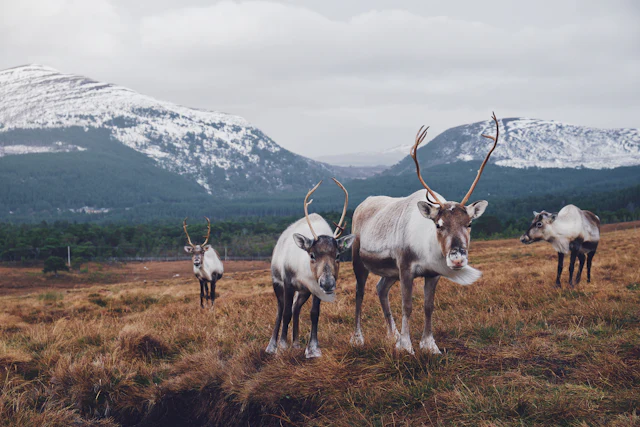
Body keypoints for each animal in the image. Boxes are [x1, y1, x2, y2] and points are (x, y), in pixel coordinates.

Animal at [266, 178, 355, 358]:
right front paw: (282, 346)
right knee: (281, 310)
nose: (328, 283)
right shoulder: (287, 283)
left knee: (296, 308)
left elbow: (314, 313)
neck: (303, 272)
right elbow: (285, 313)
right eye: (312, 254)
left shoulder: (314, 288)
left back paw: (296, 344)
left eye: (338, 255)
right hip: (277, 283)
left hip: (303, 292)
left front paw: (313, 349)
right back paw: (272, 346)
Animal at [350, 113, 500, 355]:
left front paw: (429, 345)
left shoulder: (432, 273)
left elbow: (428, 306)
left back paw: (392, 335)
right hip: (359, 259)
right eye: (438, 224)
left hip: (389, 271)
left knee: (380, 289)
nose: (457, 258)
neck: (425, 250)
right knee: (359, 293)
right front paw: (406, 346)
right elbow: (407, 305)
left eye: (469, 224)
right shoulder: (405, 267)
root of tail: (362, 204)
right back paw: (358, 338)